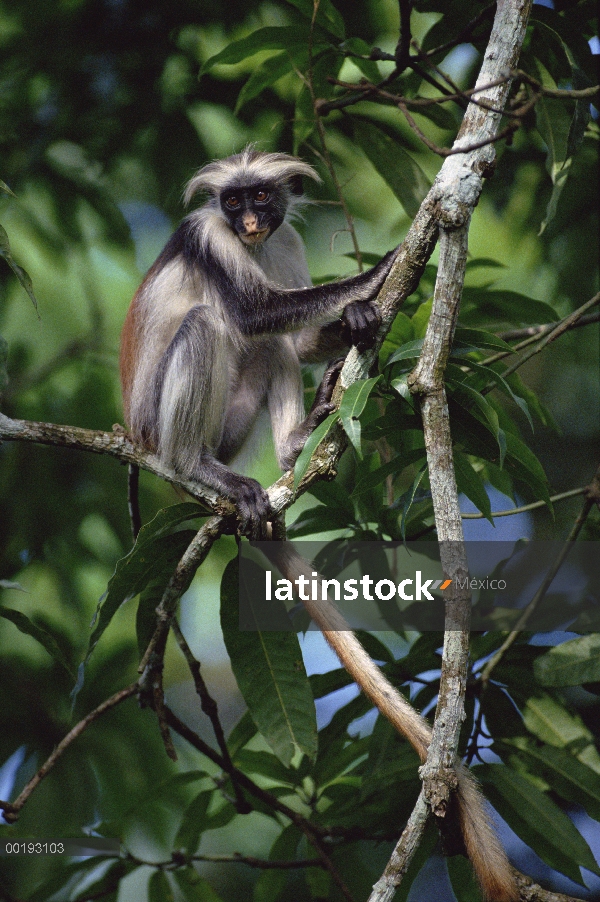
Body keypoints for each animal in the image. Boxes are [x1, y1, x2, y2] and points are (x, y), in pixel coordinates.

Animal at [120, 150, 516, 902]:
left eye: (264, 201)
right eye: (233, 201)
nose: (249, 221)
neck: (248, 244)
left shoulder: (287, 243)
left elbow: (293, 333)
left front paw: (357, 312)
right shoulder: (206, 237)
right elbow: (254, 312)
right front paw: (386, 265)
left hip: (231, 424)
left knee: (270, 350)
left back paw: (294, 447)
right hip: (160, 422)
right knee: (213, 325)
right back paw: (202, 467)